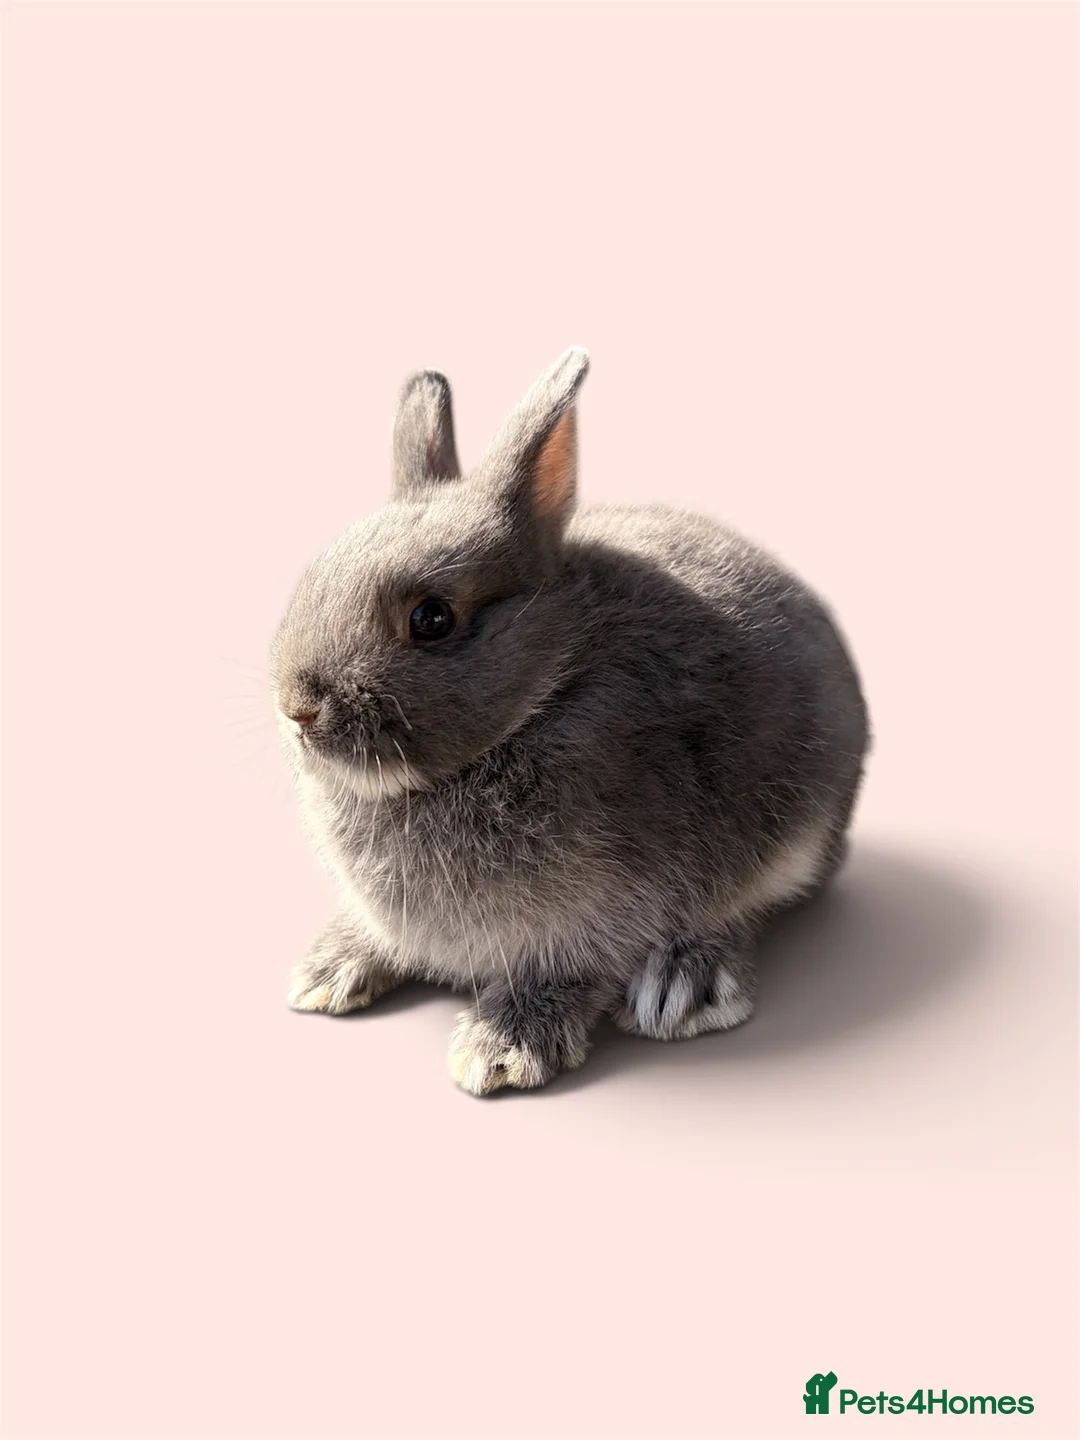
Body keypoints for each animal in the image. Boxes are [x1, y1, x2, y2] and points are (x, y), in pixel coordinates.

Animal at [271, 348, 870, 1096]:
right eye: (314, 579)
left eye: (432, 618)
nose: (298, 707)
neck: (543, 695)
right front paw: (327, 972)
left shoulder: (595, 914)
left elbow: (566, 969)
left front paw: (499, 1051)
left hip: (797, 833)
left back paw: (684, 986)